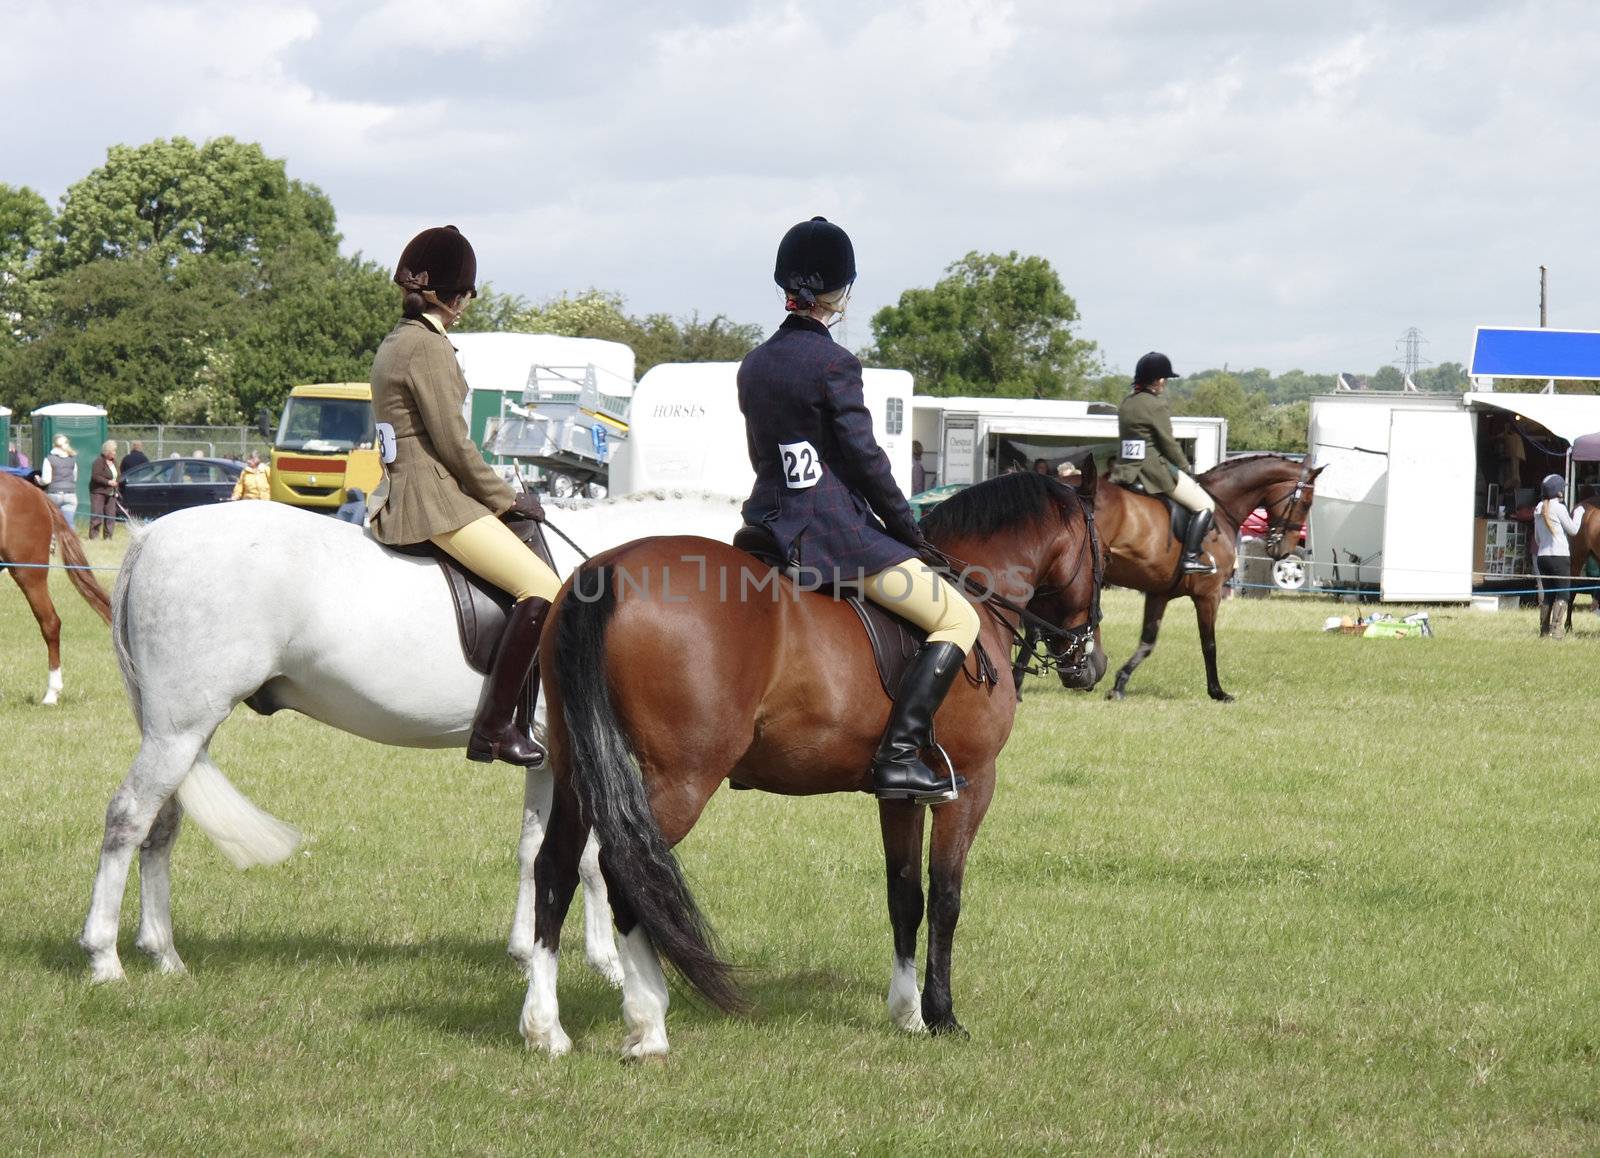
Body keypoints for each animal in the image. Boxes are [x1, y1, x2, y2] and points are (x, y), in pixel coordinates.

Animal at [518, 467, 1107, 1055]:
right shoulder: (971, 785)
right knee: (626, 871)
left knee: (556, 867)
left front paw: (907, 1014)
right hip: (680, 781)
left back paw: (546, 1029)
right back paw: (647, 1025)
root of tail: (608, 570)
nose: (1091, 663)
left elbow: (904, 894)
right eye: (1102, 553)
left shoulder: (903, 793)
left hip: (574, 771)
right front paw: (941, 1016)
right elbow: (946, 898)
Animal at [1094, 457, 1318, 700]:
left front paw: (1119, 683)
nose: (1284, 552)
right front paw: (1217, 691)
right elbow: (1209, 643)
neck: (1222, 509)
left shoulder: (1159, 594)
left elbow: (1147, 641)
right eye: (1306, 503)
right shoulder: (1209, 594)